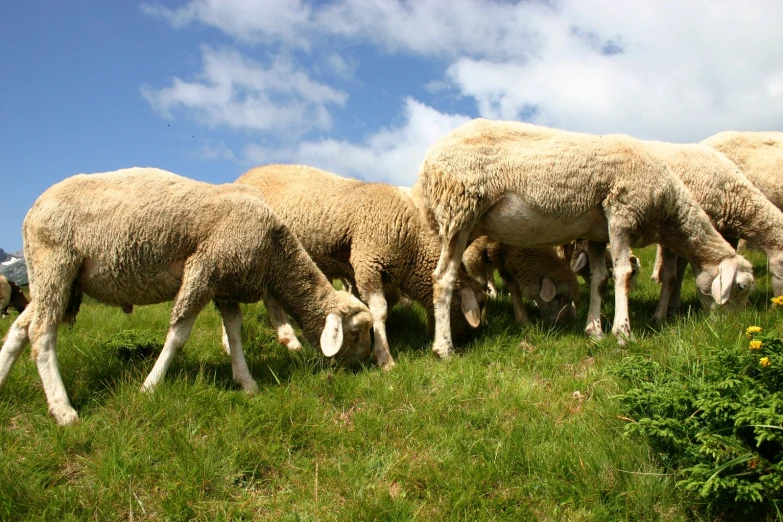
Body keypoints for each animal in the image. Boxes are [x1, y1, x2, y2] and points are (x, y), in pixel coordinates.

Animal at [0, 167, 376, 422]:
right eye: (356, 332)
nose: (365, 365)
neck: (275, 252)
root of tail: (33, 209)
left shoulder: (226, 282)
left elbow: (235, 332)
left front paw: (247, 383)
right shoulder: (204, 269)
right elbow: (179, 335)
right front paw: (149, 387)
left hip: (56, 278)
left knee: (20, 328)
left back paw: (2, 379)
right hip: (55, 262)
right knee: (41, 333)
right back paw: (64, 411)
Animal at [236, 165, 486, 368]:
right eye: (480, 304)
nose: (466, 340)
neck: (412, 245)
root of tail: (244, 176)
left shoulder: (366, 273)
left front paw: (375, 341)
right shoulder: (368, 262)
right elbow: (380, 310)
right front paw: (384, 358)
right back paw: (289, 338)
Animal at [414, 118, 756, 356]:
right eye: (741, 288)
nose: (731, 330)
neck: (668, 205)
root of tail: (428, 161)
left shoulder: (596, 234)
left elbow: (599, 279)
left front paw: (595, 330)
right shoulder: (621, 213)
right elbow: (623, 274)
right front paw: (623, 333)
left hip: (466, 223)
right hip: (460, 210)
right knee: (443, 279)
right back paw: (444, 348)